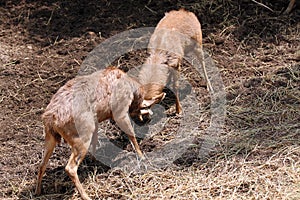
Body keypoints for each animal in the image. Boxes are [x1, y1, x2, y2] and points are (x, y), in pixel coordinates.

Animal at [35, 67, 163, 200]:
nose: (148, 119)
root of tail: (50, 119)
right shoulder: (120, 112)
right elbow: (131, 134)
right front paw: (142, 156)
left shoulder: (96, 121)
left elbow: (96, 140)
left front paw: (95, 160)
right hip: (81, 135)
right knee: (70, 168)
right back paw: (86, 196)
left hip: (50, 136)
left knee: (42, 164)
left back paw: (38, 191)